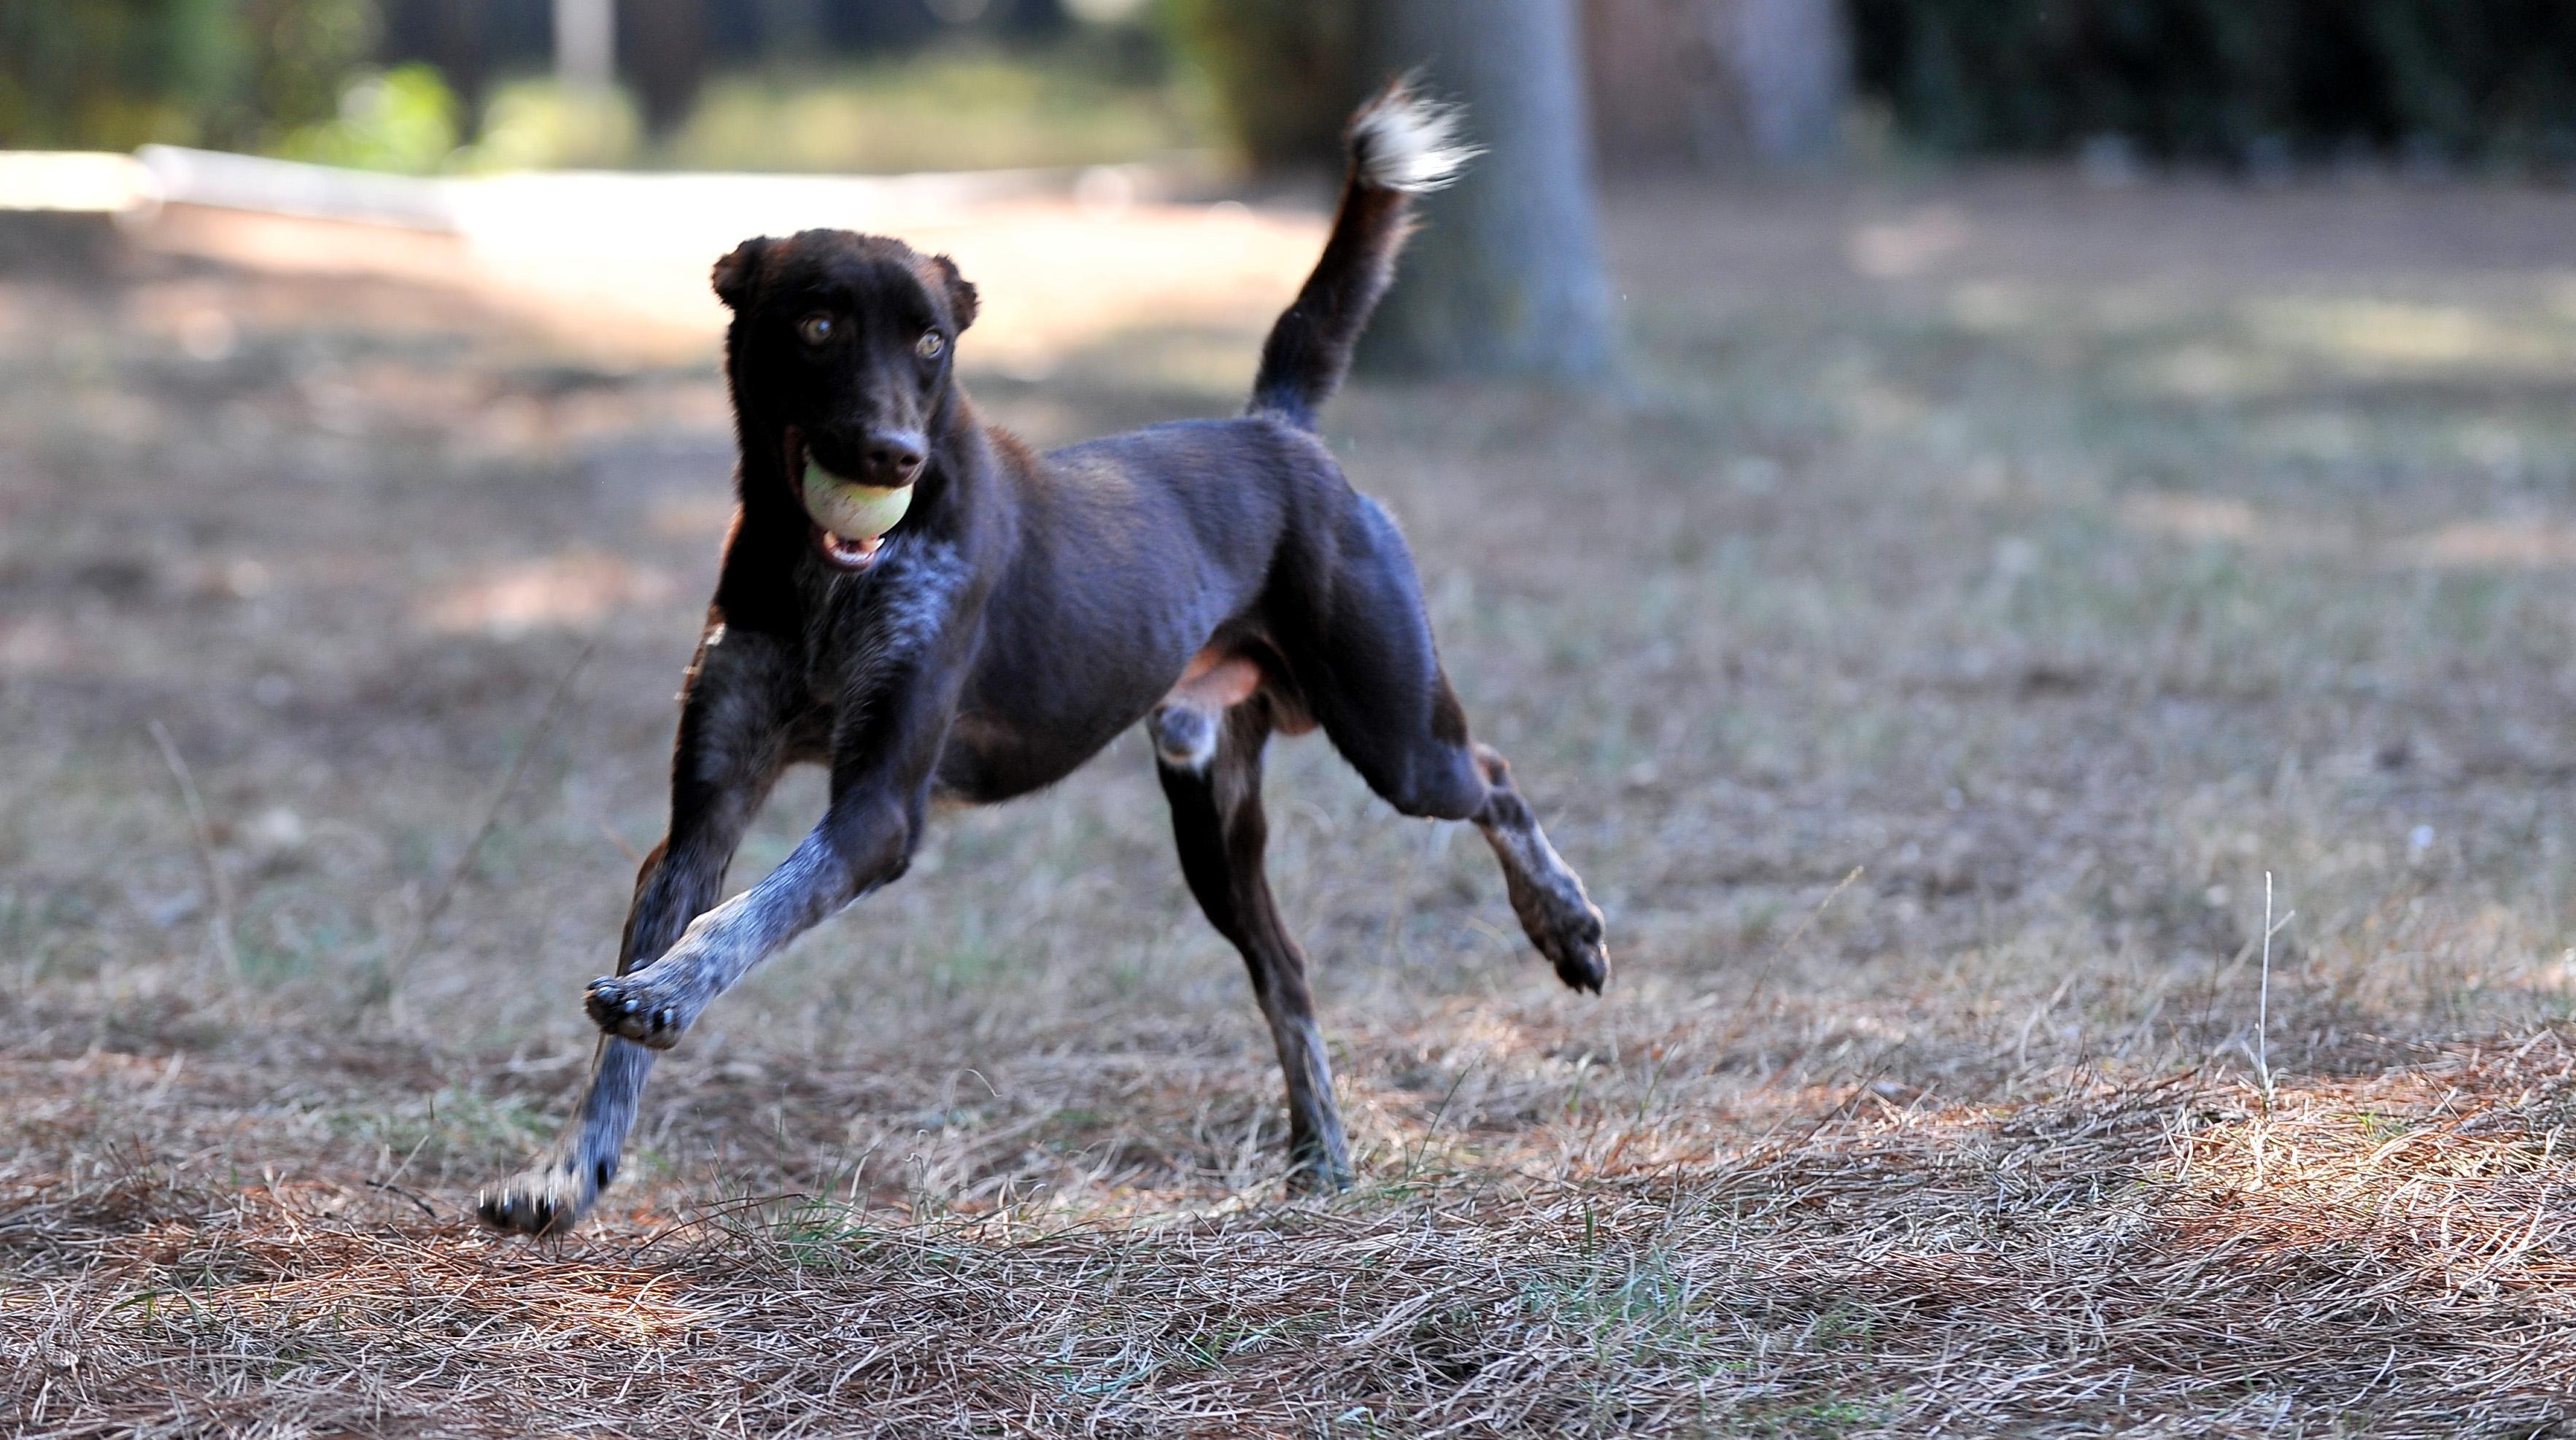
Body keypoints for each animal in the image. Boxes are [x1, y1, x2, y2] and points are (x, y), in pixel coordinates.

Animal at [484, 79, 1607, 1236]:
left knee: (1492, 779)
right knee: (1285, 970)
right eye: (817, 323)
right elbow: (650, 988)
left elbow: (739, 917)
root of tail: (1278, 431)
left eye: (932, 344)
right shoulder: (704, 813)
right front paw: (570, 1171)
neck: (819, 581)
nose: (895, 457)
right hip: (1211, 815)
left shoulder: (878, 812)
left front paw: (663, 993)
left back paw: (1565, 925)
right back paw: (1321, 1156)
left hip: (1393, 739)